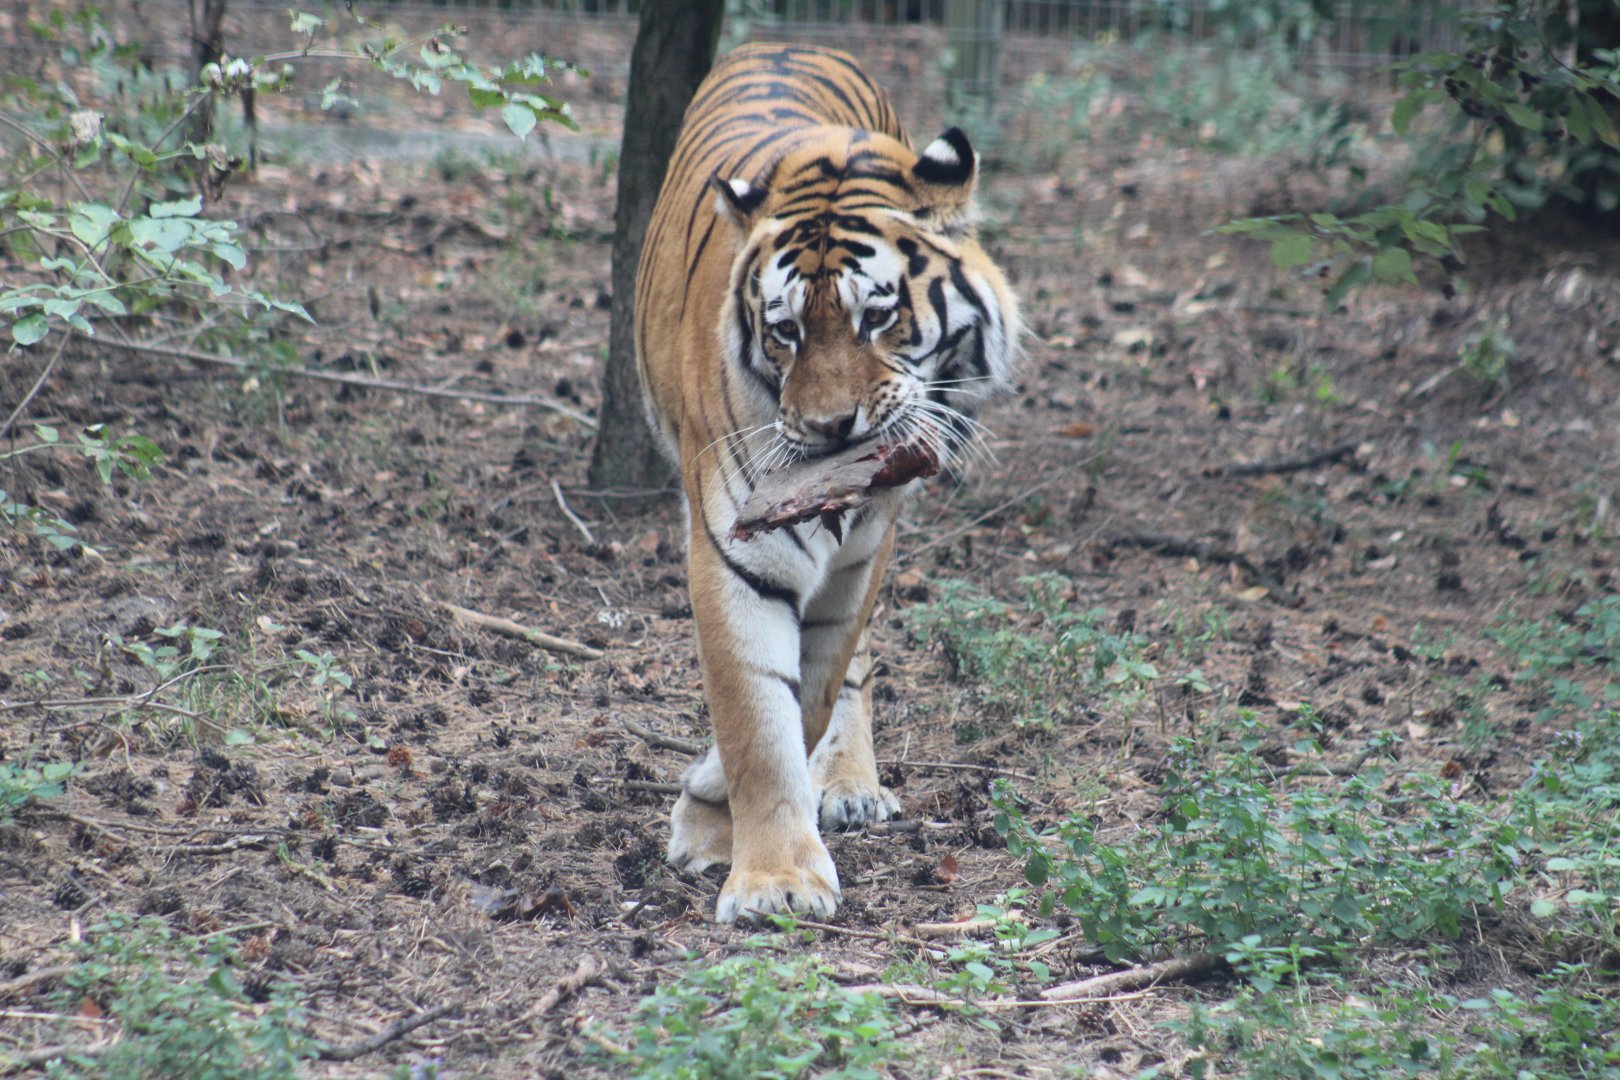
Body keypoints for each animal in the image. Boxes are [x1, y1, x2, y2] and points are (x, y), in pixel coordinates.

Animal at [634, 42, 1020, 923]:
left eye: (877, 316)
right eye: (785, 331)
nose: (828, 428)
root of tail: (788, 44)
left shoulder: (861, 552)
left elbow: (807, 698)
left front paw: (721, 818)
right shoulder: (734, 548)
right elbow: (755, 717)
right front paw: (771, 878)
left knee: (858, 662)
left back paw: (849, 784)